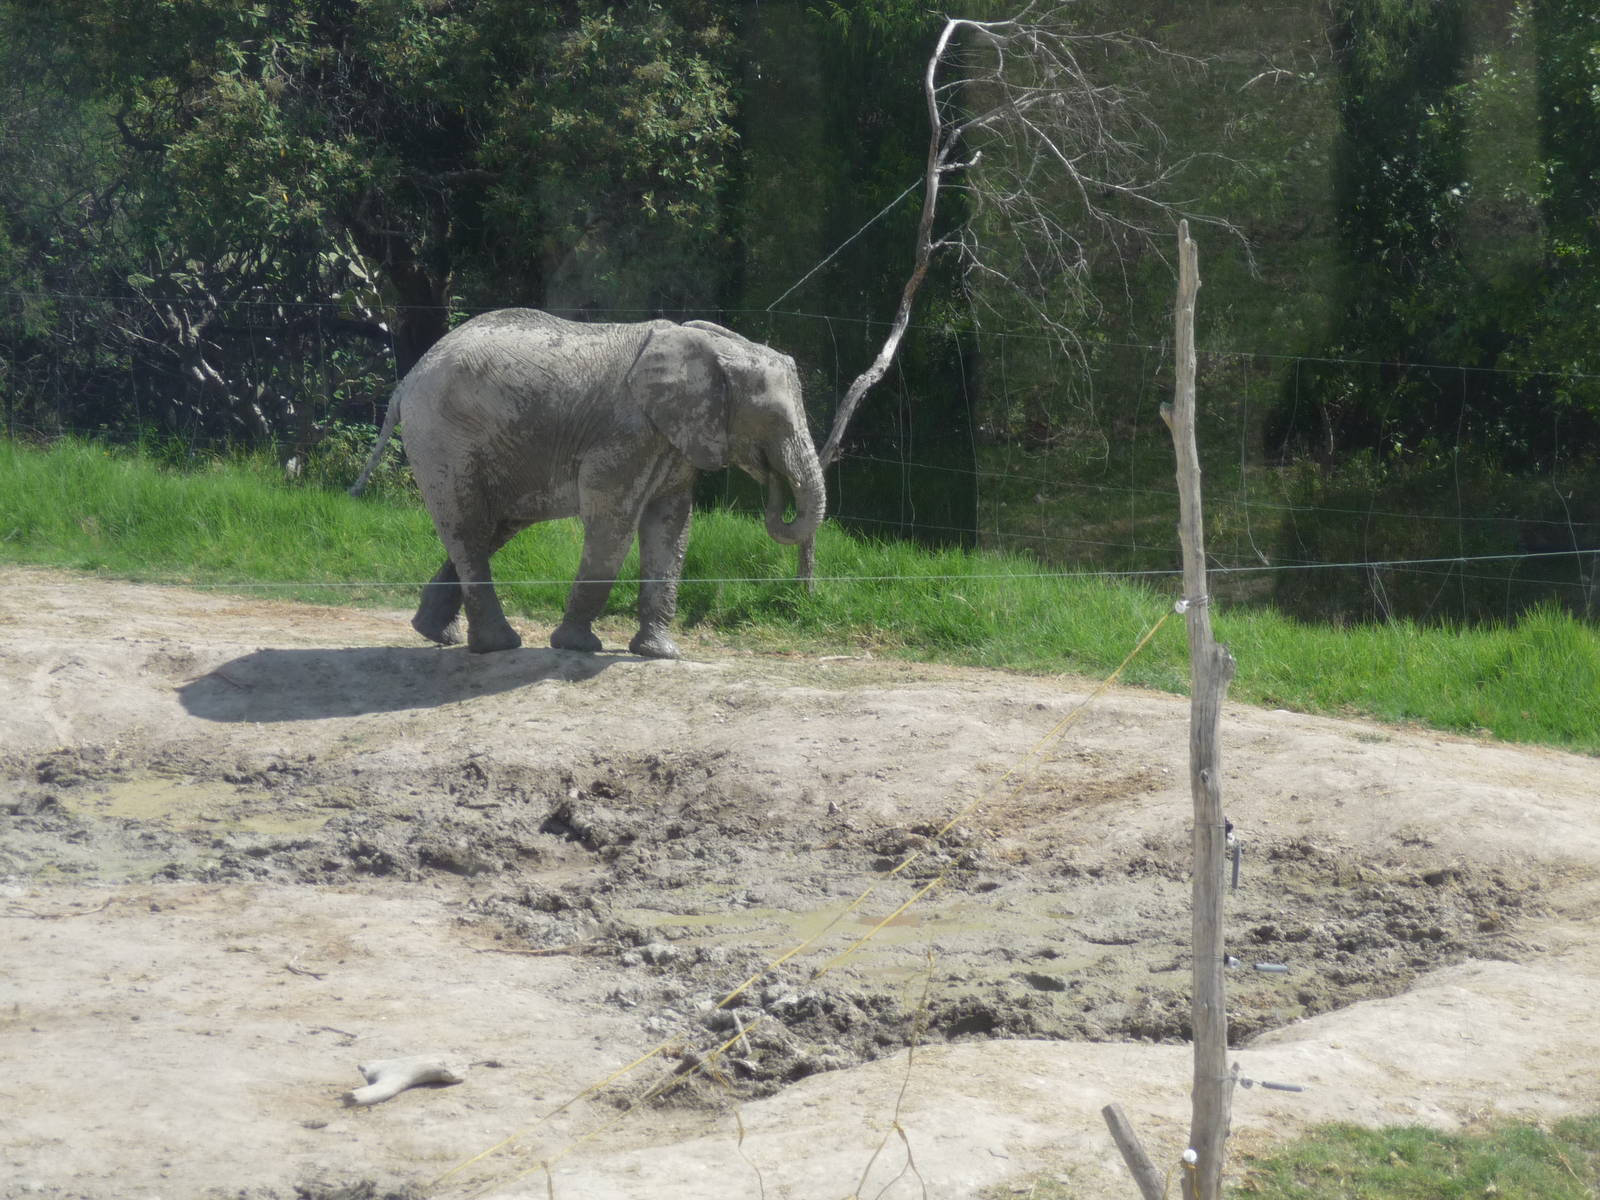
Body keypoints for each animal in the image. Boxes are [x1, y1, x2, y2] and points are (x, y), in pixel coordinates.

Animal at [349, 308, 825, 659]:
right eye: (775, 420)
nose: (771, 477)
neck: (709, 348)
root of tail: (408, 379)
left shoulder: (673, 438)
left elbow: (671, 527)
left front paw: (660, 654)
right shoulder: (625, 435)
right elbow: (613, 523)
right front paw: (578, 646)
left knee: (491, 528)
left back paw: (436, 634)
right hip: (443, 438)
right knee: (468, 527)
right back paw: (497, 645)